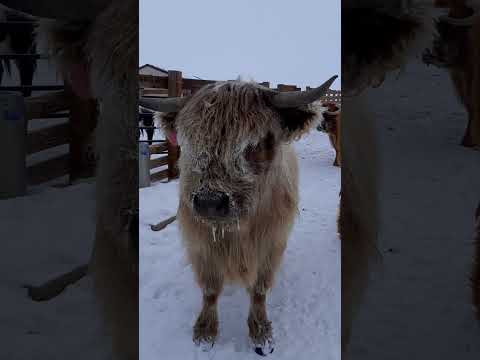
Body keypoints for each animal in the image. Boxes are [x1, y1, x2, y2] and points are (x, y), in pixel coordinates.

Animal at [141, 75, 338, 354]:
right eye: (190, 140)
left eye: (254, 143)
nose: (209, 203)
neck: (236, 231)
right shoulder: (201, 245)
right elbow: (210, 290)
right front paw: (205, 332)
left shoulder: (271, 245)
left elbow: (259, 290)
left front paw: (261, 333)